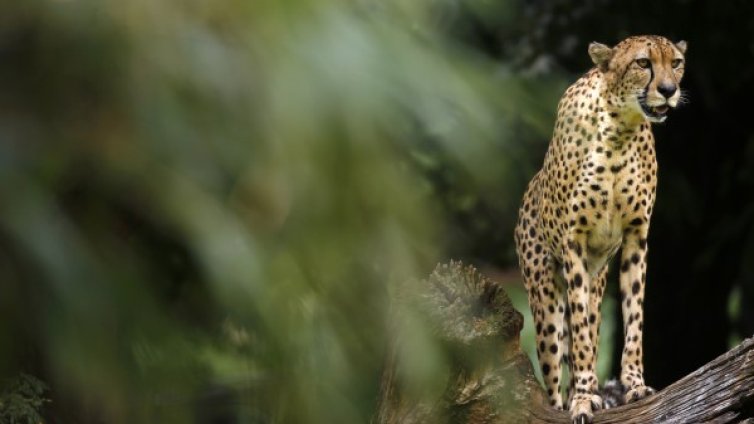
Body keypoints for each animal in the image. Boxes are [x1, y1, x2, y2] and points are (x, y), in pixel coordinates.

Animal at [516, 36, 684, 424]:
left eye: (677, 63)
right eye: (643, 63)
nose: (669, 91)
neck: (619, 131)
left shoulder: (637, 237)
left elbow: (634, 317)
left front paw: (635, 385)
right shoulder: (573, 243)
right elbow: (578, 335)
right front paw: (582, 399)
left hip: (598, 281)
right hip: (545, 301)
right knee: (555, 372)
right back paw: (571, 397)